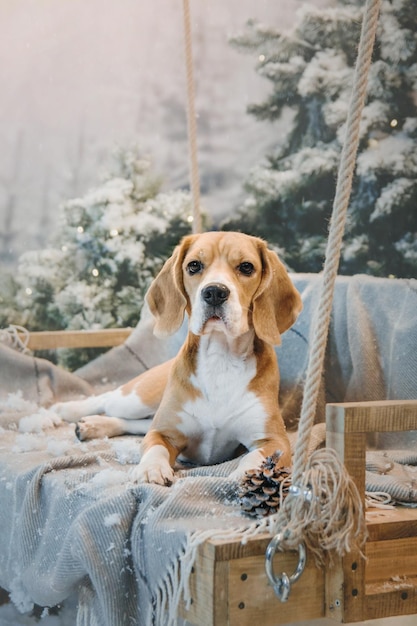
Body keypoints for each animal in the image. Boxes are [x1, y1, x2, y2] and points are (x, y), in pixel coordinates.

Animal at [55, 232, 302, 486]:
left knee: (135, 422)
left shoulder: (275, 440)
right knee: (109, 399)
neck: (220, 358)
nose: (214, 292)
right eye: (194, 266)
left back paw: (93, 425)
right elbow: (155, 447)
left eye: (246, 267)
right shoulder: (163, 432)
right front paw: (151, 469)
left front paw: (247, 477)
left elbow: (256, 458)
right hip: (136, 399)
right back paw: (70, 410)